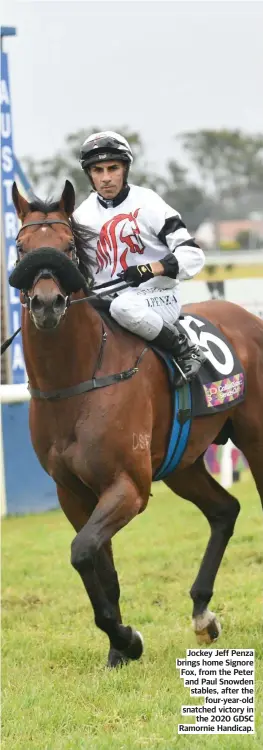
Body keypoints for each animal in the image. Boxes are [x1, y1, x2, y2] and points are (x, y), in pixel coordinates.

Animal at [9, 182, 263, 668]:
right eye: (21, 246)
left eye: (68, 247)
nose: (47, 304)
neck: (77, 379)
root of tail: (248, 316)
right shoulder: (72, 493)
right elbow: (97, 564)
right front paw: (119, 647)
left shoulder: (128, 486)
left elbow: (82, 551)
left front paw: (125, 638)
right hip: (184, 464)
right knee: (225, 510)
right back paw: (202, 613)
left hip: (256, 440)